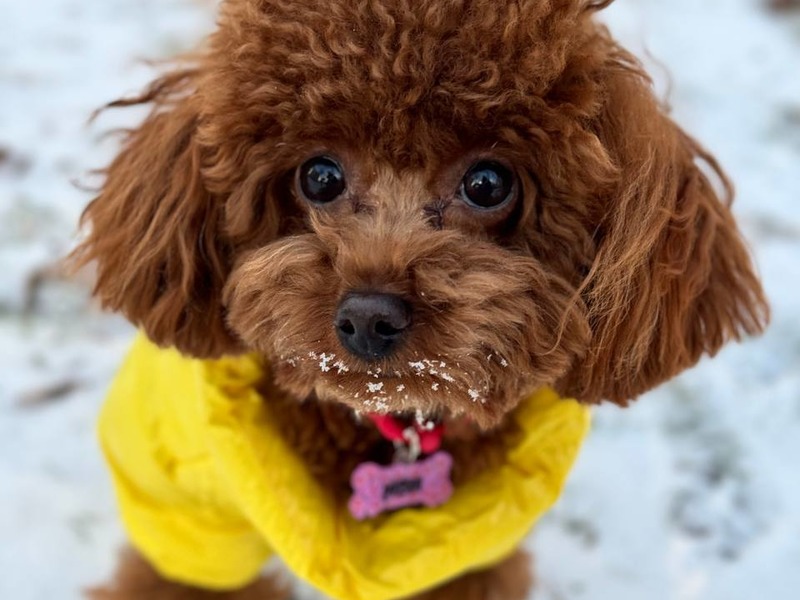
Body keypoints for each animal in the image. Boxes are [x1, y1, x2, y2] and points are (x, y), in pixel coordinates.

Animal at [75, 1, 768, 600]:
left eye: (488, 183)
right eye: (318, 176)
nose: (367, 317)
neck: (392, 428)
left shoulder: (465, 554)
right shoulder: (192, 519)